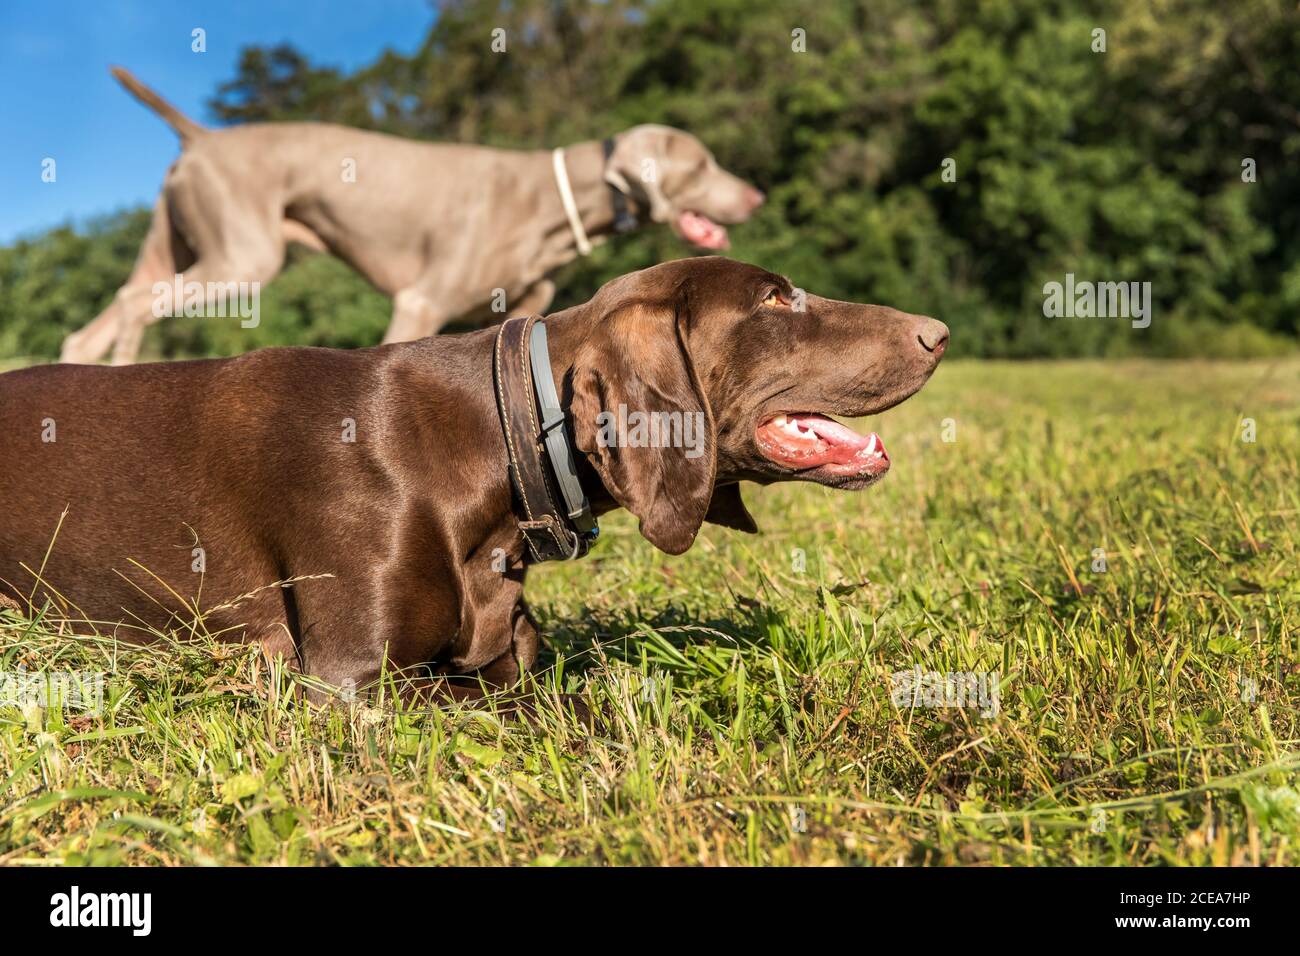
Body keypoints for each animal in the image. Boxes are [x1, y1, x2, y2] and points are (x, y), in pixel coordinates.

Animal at [61, 66, 764, 366]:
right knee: (134, 308)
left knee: (93, 326)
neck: (553, 199)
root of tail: (201, 136)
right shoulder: (420, 302)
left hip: (174, 243)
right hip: (244, 258)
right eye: (702, 163)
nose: (755, 196)